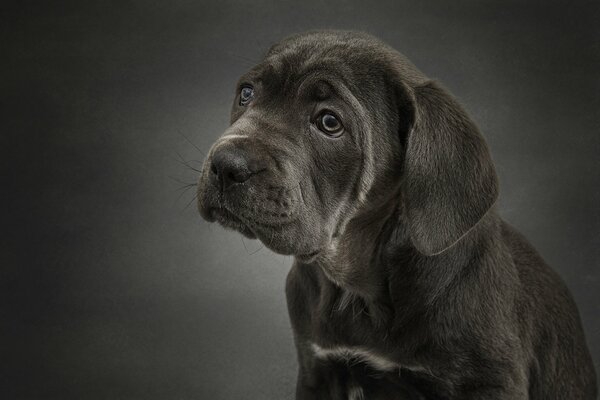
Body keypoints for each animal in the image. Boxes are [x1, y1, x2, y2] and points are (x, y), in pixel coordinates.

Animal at [196, 31, 596, 400]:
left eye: (329, 122)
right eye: (247, 93)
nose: (227, 165)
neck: (359, 289)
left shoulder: (489, 382)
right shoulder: (317, 369)